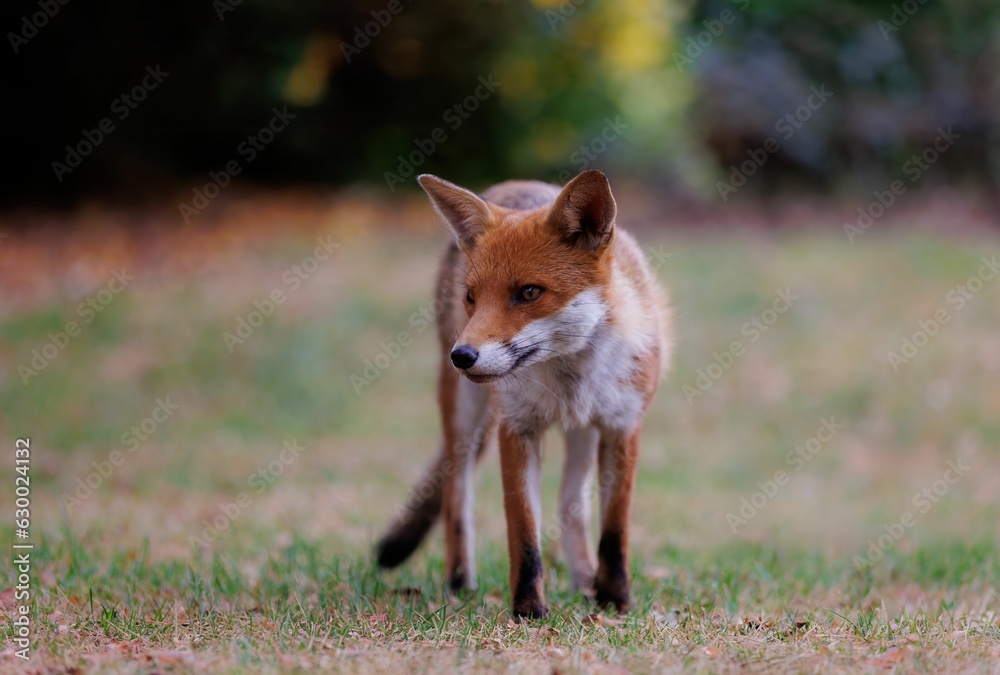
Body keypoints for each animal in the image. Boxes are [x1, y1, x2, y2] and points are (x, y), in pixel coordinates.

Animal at [376, 169, 672, 616]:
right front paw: (529, 609)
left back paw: (584, 579)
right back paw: (459, 582)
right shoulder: (516, 428)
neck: (570, 377)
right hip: (464, 416)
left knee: (571, 503)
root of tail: (513, 184)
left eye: (529, 292)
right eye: (472, 297)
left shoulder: (622, 426)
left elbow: (614, 530)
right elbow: (524, 533)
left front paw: (615, 599)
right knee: (455, 496)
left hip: (583, 434)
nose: (462, 356)